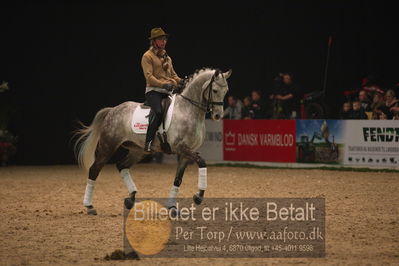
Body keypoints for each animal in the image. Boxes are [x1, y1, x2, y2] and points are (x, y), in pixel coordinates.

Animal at [74, 68, 231, 214]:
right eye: (215, 90)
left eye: (226, 91)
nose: (218, 115)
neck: (188, 110)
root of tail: (112, 110)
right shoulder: (181, 148)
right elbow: (202, 162)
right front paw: (198, 197)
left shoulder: (186, 153)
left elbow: (178, 179)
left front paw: (172, 207)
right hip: (108, 146)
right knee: (95, 169)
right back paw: (89, 206)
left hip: (138, 151)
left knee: (122, 165)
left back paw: (130, 199)